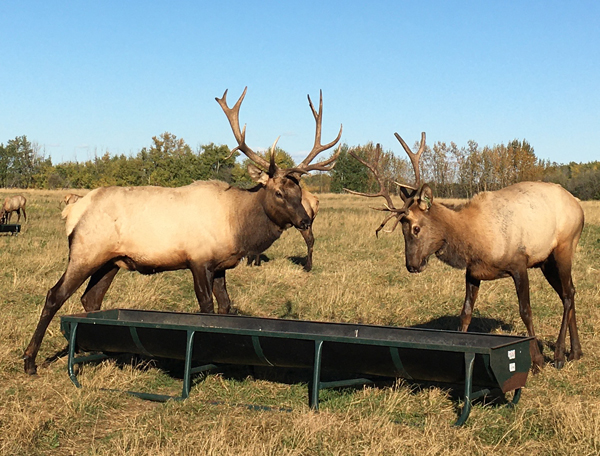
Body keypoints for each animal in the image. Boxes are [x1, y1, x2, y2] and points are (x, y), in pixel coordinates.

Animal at [346, 132, 584, 370]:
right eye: (402, 231)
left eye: (416, 228)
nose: (411, 265)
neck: (474, 242)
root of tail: (578, 205)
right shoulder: (473, 272)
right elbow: (465, 313)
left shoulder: (519, 263)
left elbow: (525, 311)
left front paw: (537, 361)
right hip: (546, 261)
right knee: (570, 291)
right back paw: (576, 351)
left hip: (564, 247)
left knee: (567, 295)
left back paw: (560, 354)